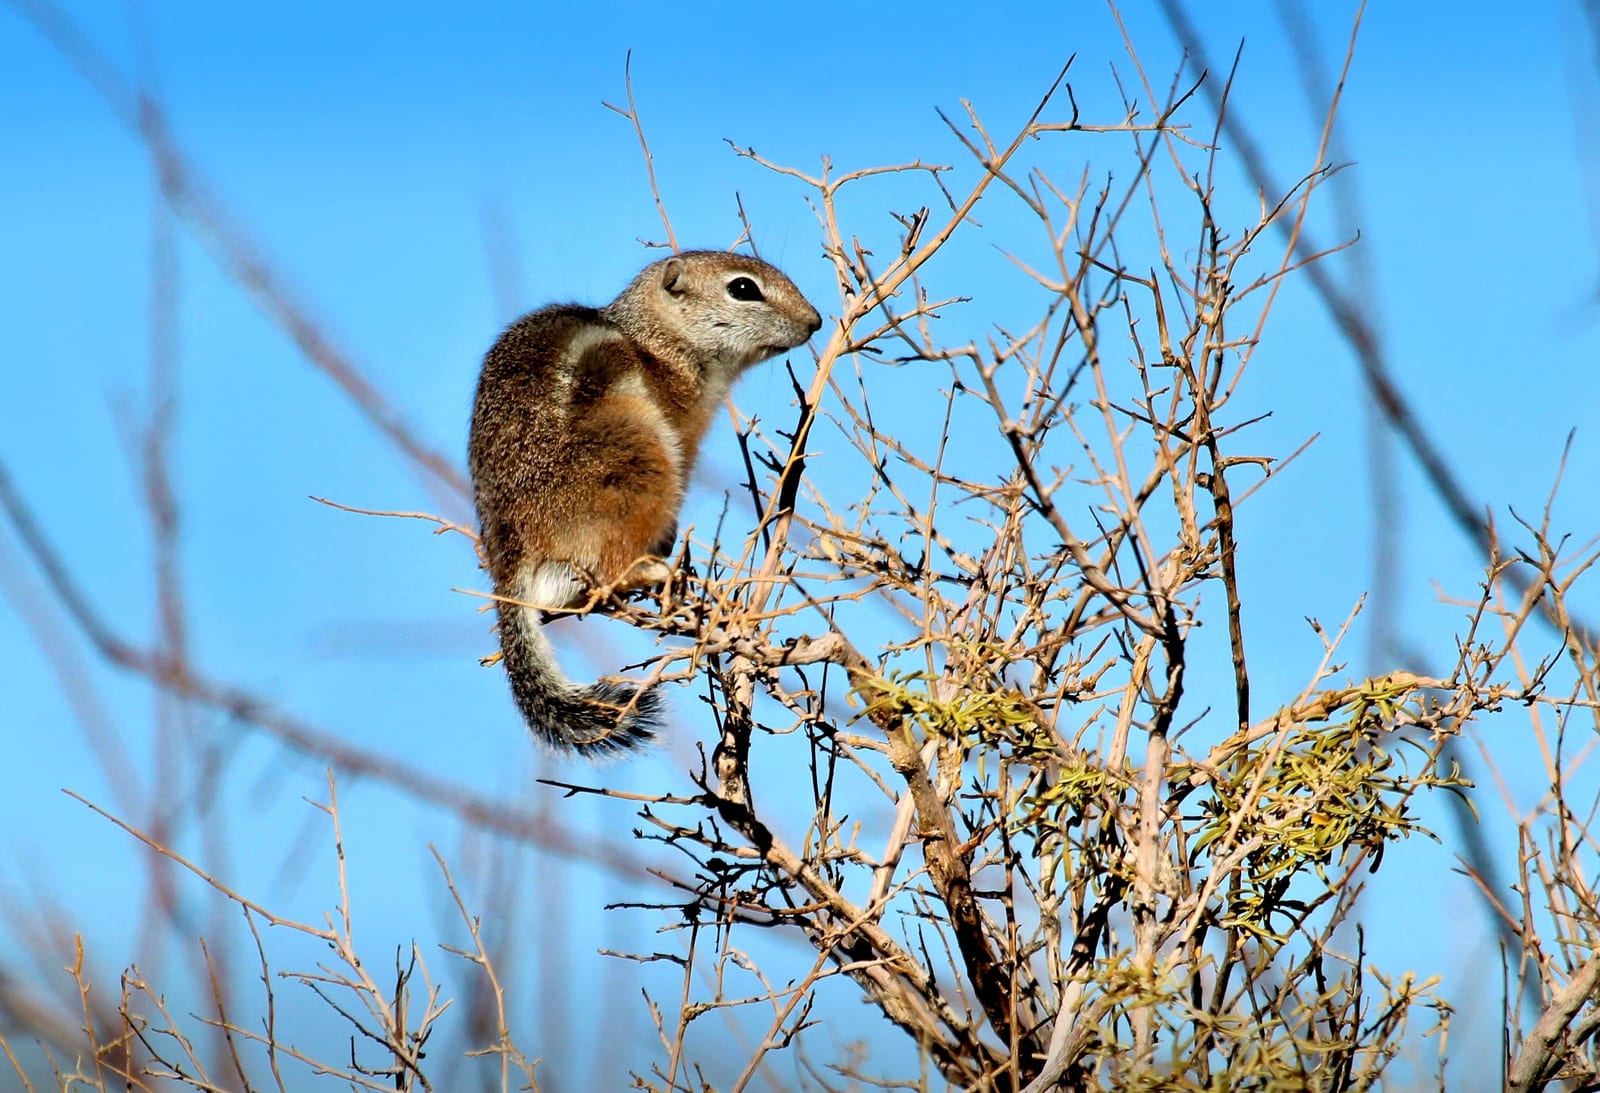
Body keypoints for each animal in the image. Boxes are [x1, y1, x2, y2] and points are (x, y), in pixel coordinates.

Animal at [468, 250, 823, 756]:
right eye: (743, 289)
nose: (815, 321)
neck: (656, 341)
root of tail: (512, 562)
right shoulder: (681, 432)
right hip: (638, 451)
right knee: (612, 563)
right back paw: (652, 570)